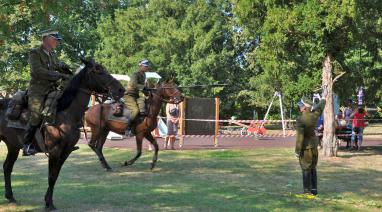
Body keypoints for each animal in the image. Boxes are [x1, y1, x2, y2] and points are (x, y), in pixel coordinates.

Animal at [0, 58, 124, 210]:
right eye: (98, 70)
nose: (121, 89)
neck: (66, 113)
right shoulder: (54, 151)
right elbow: (51, 176)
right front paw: (49, 204)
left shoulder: (66, 151)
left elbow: (55, 175)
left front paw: (48, 201)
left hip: (13, 146)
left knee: (7, 167)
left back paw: (10, 197)